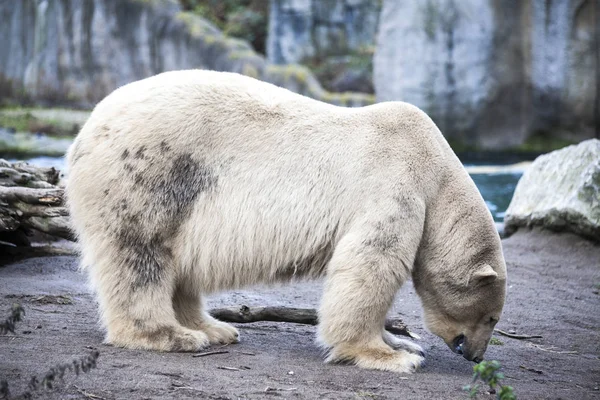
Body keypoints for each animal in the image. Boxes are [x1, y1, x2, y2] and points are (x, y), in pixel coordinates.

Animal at [65, 69, 506, 372]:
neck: (435, 169)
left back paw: (215, 328)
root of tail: (85, 131)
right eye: (491, 317)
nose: (476, 354)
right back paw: (170, 335)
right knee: (141, 254)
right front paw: (390, 356)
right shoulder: (393, 186)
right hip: (151, 173)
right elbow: (371, 266)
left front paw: (404, 344)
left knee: (178, 265)